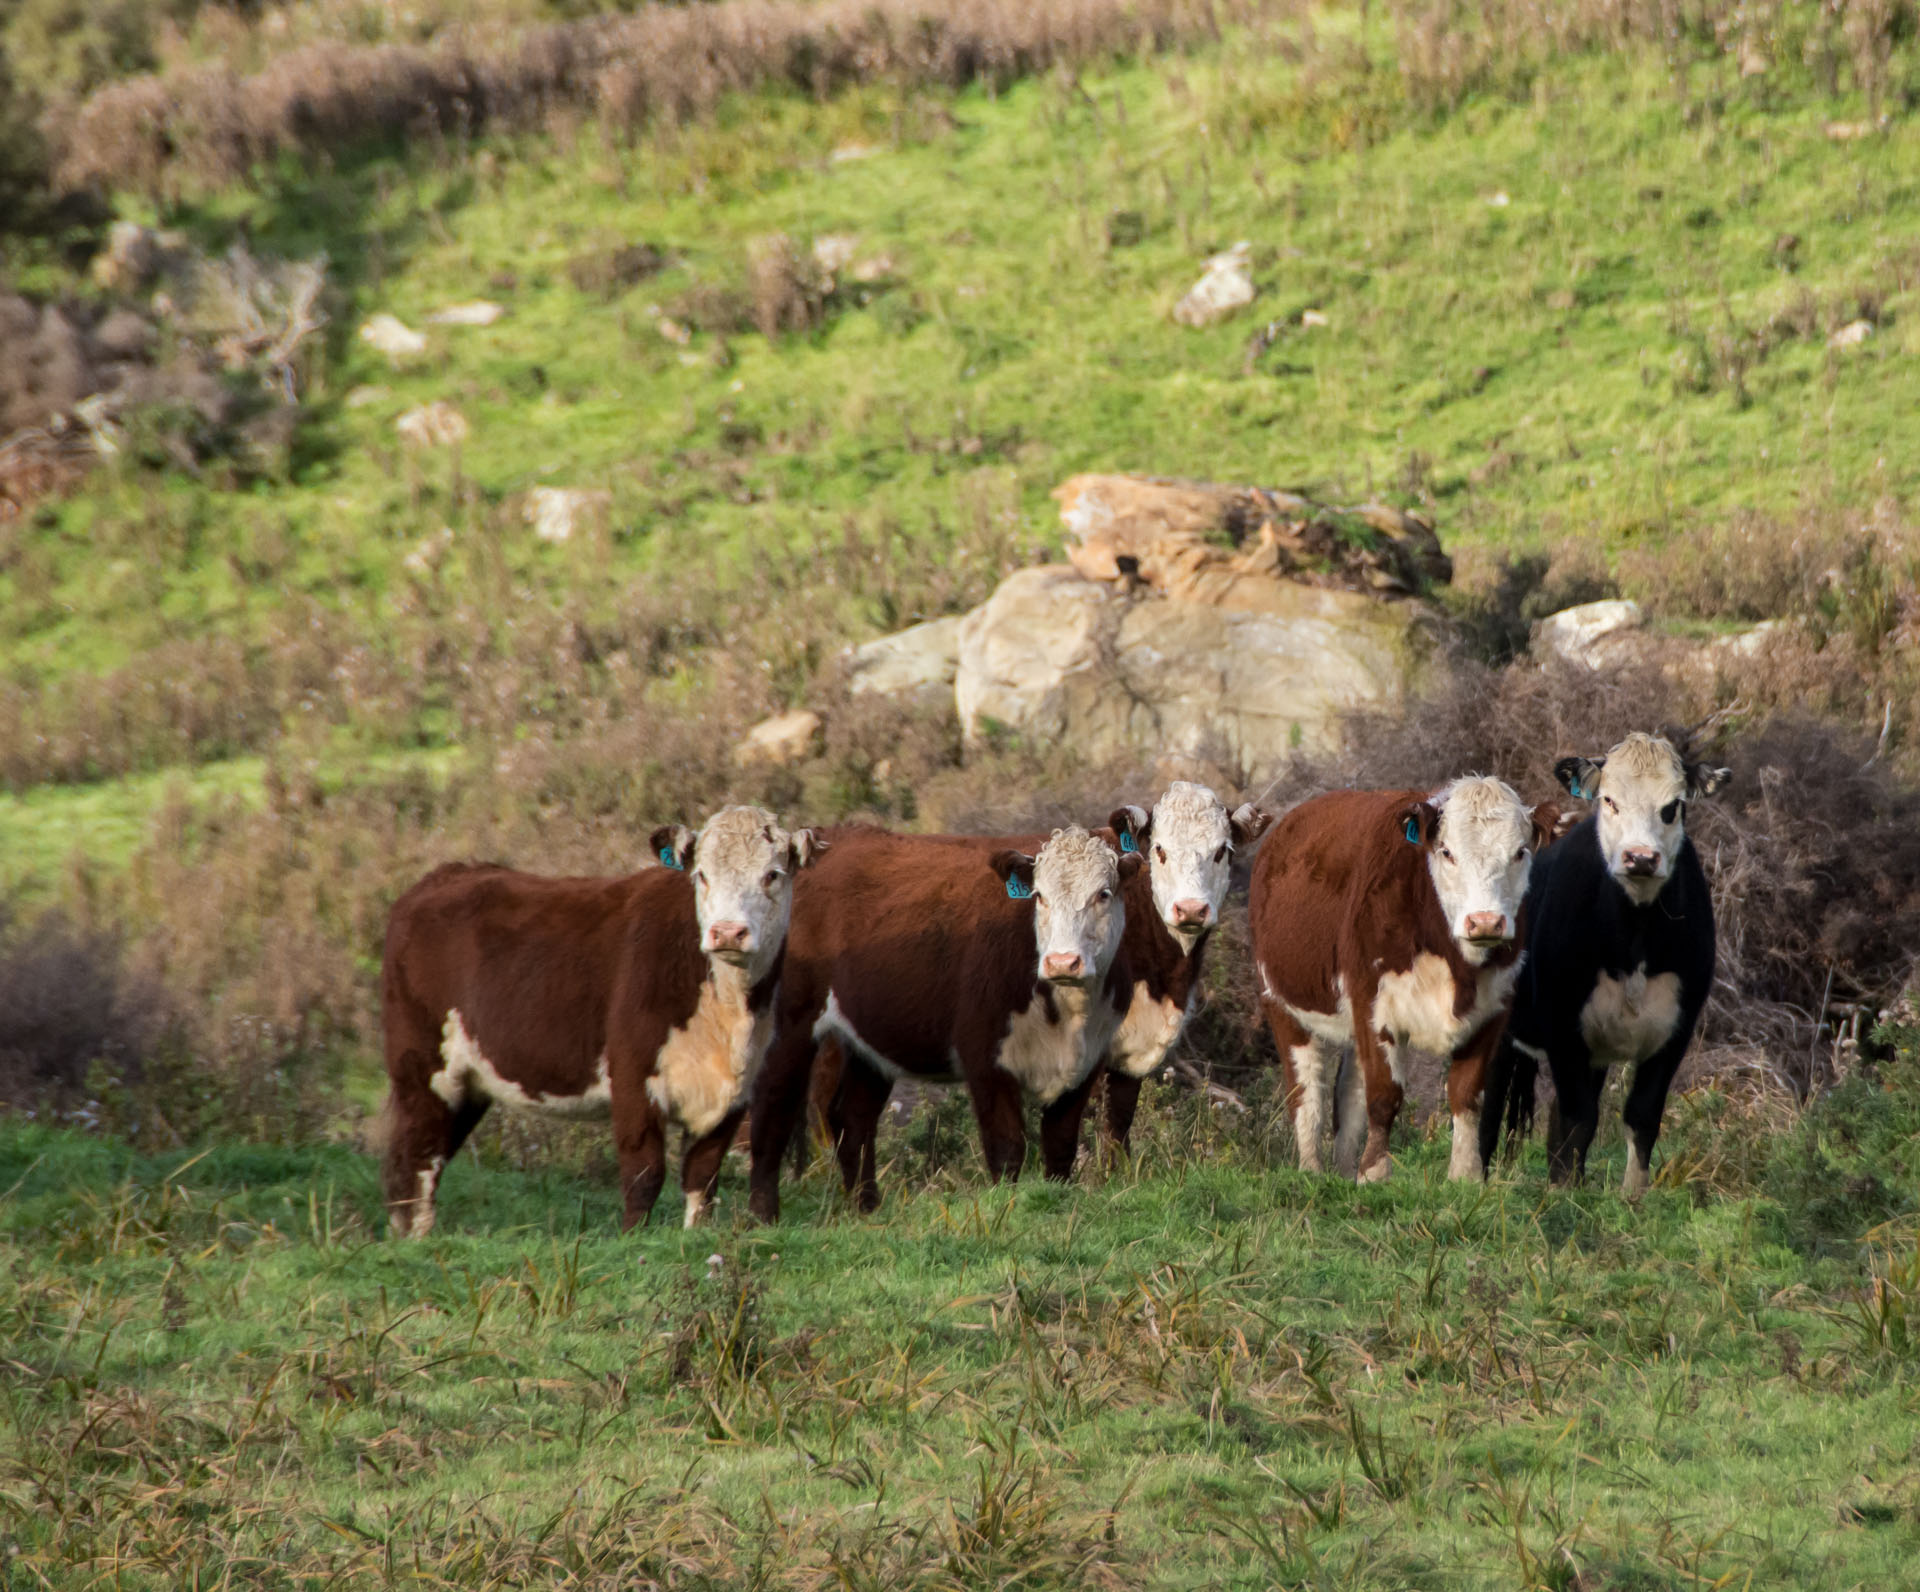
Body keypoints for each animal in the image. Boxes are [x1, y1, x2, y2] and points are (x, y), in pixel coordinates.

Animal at [379, 805, 825, 1236]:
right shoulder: (632, 1078)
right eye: (702, 874)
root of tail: (441, 877)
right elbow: (644, 1175)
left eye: (772, 875)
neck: (726, 1008)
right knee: (414, 1160)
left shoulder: (734, 1094)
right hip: (423, 1070)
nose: (728, 932)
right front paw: (633, 1239)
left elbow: (702, 1177)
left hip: (468, 1083)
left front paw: (695, 1235)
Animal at [746, 825, 1140, 1221]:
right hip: (789, 1022)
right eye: (1039, 896)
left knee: (853, 1118)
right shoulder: (984, 1057)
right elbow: (1008, 1147)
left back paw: (867, 1207)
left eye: (1103, 894)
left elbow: (1060, 1148)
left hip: (873, 1039)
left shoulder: (1087, 1062)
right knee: (772, 1106)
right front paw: (1007, 1210)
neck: (1064, 1014)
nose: (1062, 962)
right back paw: (763, 1215)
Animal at [1249, 777, 1558, 1182]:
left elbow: (1466, 1093)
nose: (1485, 921)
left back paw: (1344, 1170)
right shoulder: (1373, 1004)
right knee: (1306, 1091)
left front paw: (1465, 1175)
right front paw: (1375, 1173)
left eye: (1520, 852)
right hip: (1280, 1001)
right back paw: (1312, 1170)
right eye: (1446, 852)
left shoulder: (1495, 1009)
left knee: (1348, 1095)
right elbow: (1384, 1094)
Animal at [1479, 733, 1729, 1194]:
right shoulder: (1564, 1028)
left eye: (1673, 806)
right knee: (1487, 1107)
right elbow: (1577, 1119)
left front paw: (1633, 1197)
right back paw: (1474, 1179)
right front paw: (1563, 1196)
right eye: (1609, 800)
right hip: (1499, 1030)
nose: (1641, 857)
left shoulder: (1676, 1031)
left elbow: (1640, 1116)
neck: (1635, 937)